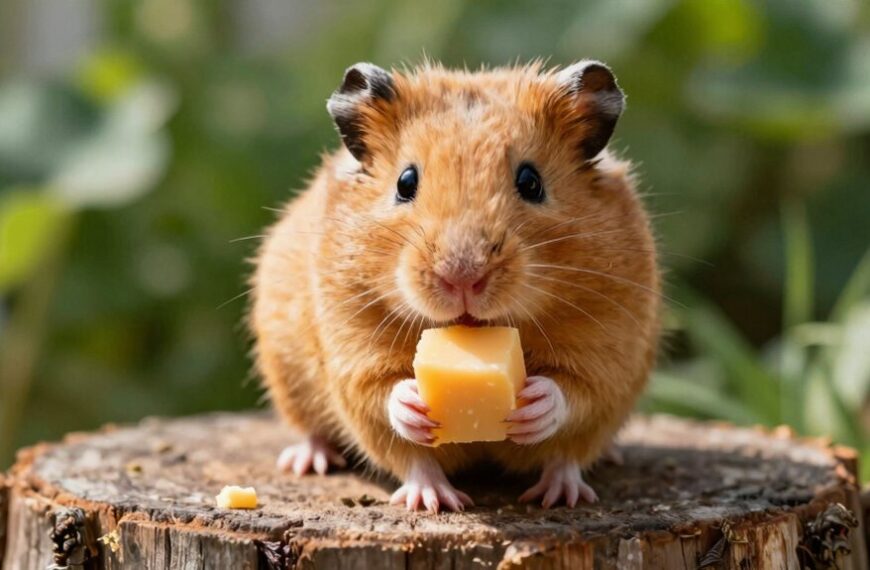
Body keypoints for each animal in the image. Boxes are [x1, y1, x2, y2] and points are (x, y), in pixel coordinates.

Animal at [250, 60, 660, 512]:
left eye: (531, 182)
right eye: (405, 182)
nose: (462, 277)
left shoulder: (608, 351)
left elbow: (574, 394)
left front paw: (534, 405)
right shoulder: (353, 349)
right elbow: (386, 401)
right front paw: (420, 436)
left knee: (568, 459)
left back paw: (562, 495)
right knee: (318, 432)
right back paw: (327, 467)